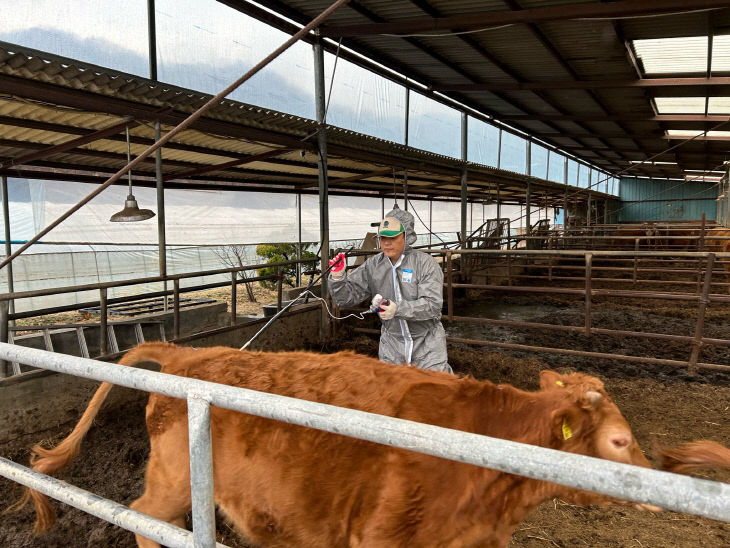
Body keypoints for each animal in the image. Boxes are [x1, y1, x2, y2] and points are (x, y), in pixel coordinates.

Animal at [14, 342, 664, 548]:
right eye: (620, 439)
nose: (657, 484)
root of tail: (189, 354)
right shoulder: (381, 537)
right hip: (173, 480)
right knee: (144, 518)